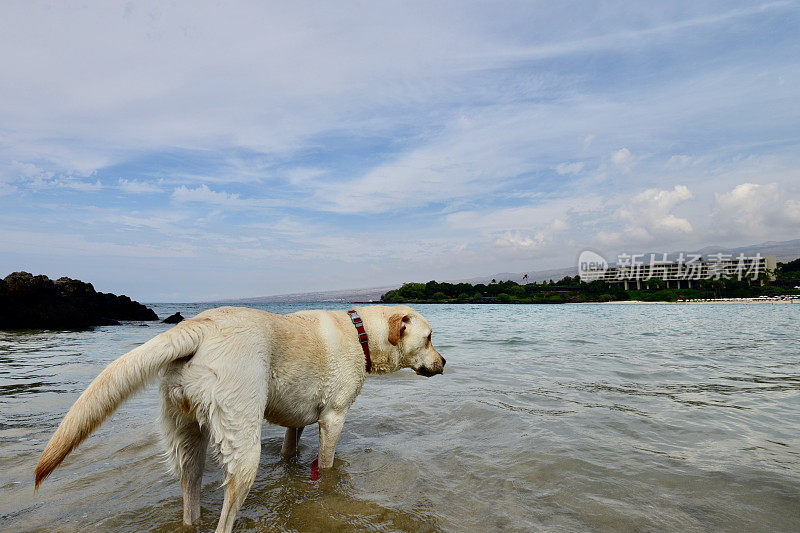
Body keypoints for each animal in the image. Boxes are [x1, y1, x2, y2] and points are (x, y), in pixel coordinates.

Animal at [32, 306, 444, 528]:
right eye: (429, 338)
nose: (444, 362)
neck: (361, 335)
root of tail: (196, 326)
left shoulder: (296, 421)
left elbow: (290, 452)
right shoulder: (333, 418)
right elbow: (325, 465)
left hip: (185, 436)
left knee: (190, 495)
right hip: (244, 444)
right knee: (227, 514)